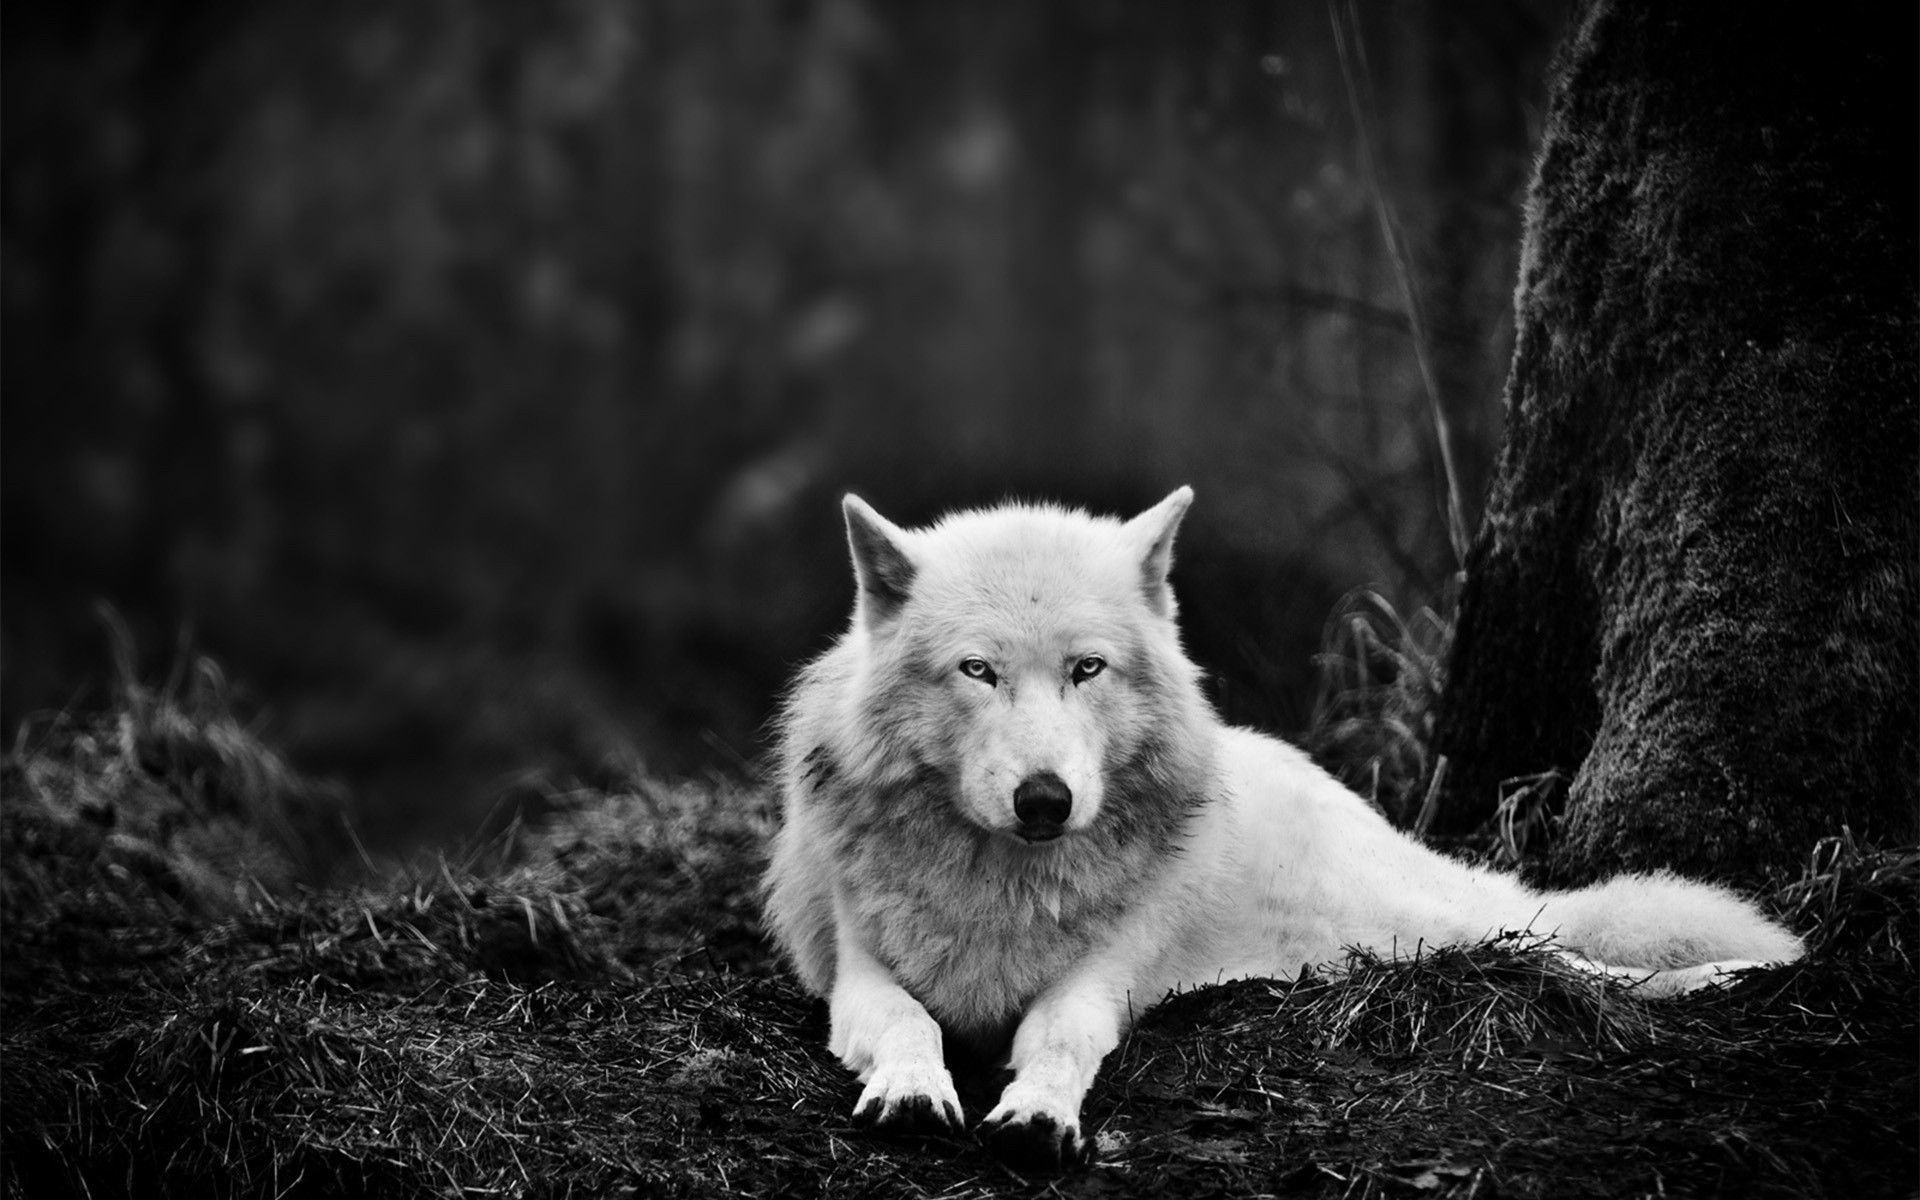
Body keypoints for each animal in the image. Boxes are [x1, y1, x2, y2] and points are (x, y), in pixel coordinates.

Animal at [760, 481, 1797, 1167]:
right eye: (977, 671)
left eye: (1087, 669)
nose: (1046, 800)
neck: (1004, 883)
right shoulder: (858, 975)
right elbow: (909, 1023)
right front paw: (912, 1089)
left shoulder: (1099, 982)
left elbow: (1056, 1038)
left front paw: (1039, 1115)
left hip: (1426, 928)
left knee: (1565, 950)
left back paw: (1735, 974)